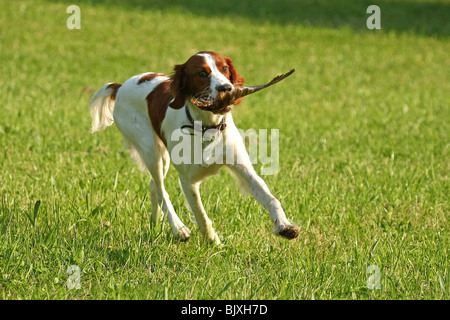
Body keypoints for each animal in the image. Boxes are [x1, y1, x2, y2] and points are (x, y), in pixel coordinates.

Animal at [89, 51, 298, 244]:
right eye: (202, 73)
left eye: (224, 68)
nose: (226, 88)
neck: (208, 127)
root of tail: (120, 86)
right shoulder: (187, 181)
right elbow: (200, 213)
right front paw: (212, 241)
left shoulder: (243, 166)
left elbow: (270, 198)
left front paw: (284, 226)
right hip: (151, 150)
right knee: (161, 189)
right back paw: (178, 228)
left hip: (162, 157)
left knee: (154, 186)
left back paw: (155, 224)